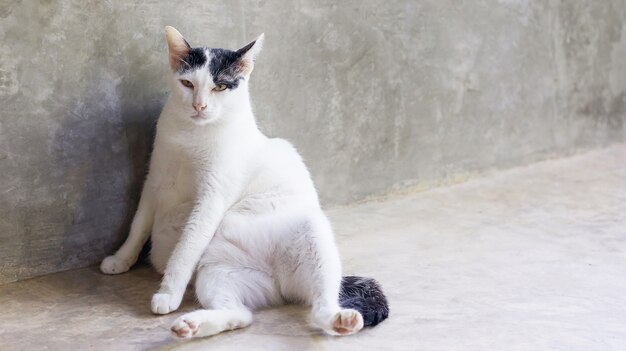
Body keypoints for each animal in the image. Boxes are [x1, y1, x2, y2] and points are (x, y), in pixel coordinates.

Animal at [98, 26, 386, 340]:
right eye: (187, 83)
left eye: (220, 87)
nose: (199, 105)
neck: (191, 136)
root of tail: (278, 281)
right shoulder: (154, 181)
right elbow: (138, 226)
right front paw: (121, 259)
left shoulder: (212, 197)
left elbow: (186, 248)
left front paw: (168, 293)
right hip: (217, 274)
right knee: (241, 315)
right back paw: (191, 325)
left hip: (312, 234)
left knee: (321, 304)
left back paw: (341, 319)